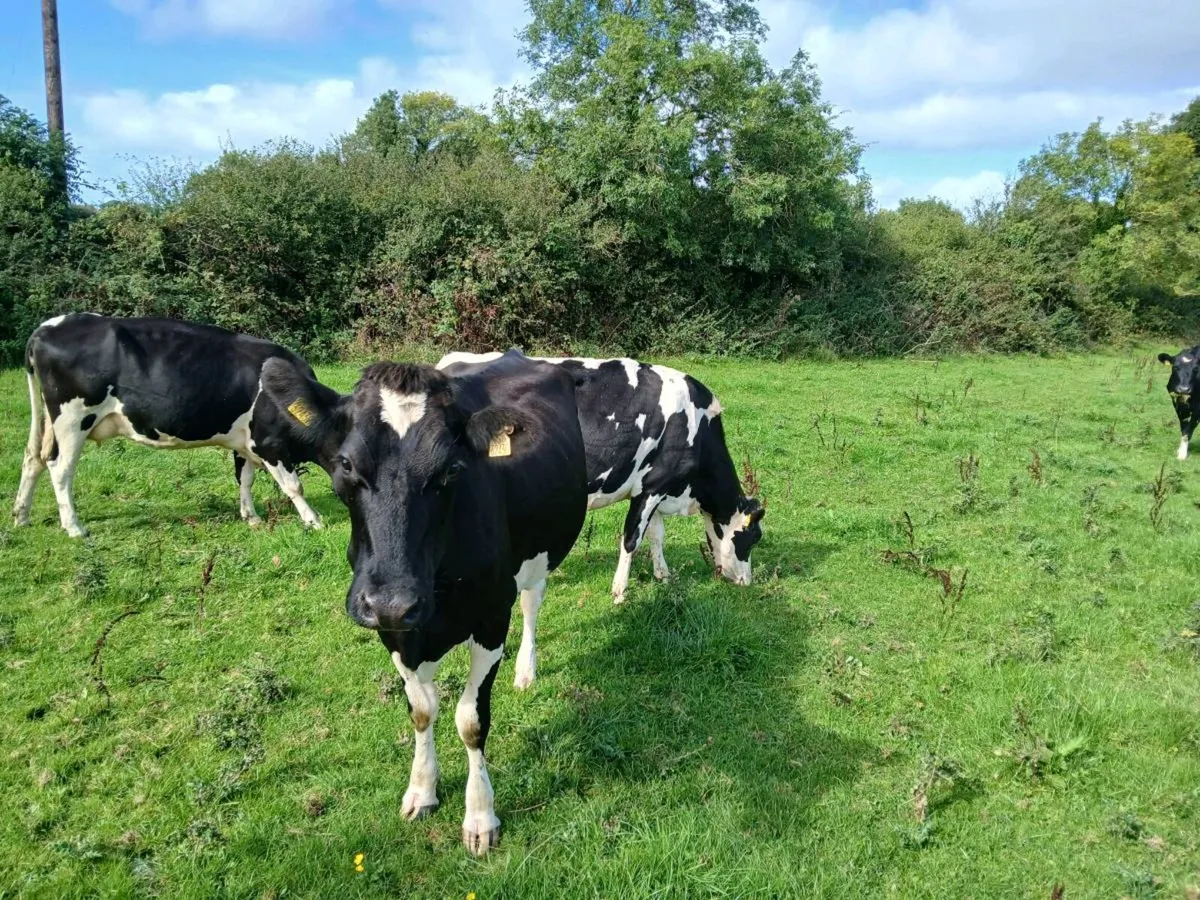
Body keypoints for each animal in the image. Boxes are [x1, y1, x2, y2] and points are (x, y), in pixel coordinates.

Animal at [12, 313, 329, 537]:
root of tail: (47, 327)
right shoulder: (269, 442)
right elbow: (293, 485)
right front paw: (313, 519)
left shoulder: (246, 441)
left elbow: (245, 478)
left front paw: (251, 517)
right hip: (73, 419)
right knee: (59, 467)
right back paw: (74, 527)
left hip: (50, 420)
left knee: (33, 458)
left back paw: (21, 516)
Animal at [258, 349, 588, 856]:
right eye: (346, 464)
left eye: (451, 470)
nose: (392, 599)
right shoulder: (392, 627)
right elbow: (421, 710)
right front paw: (421, 790)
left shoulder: (491, 617)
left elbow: (471, 720)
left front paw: (480, 817)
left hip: (539, 554)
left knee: (532, 602)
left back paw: (526, 670)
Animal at [438, 350, 765, 686]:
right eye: (753, 538)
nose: (746, 581)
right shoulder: (652, 486)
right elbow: (632, 539)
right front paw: (619, 591)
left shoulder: (655, 488)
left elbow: (656, 534)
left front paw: (663, 574)